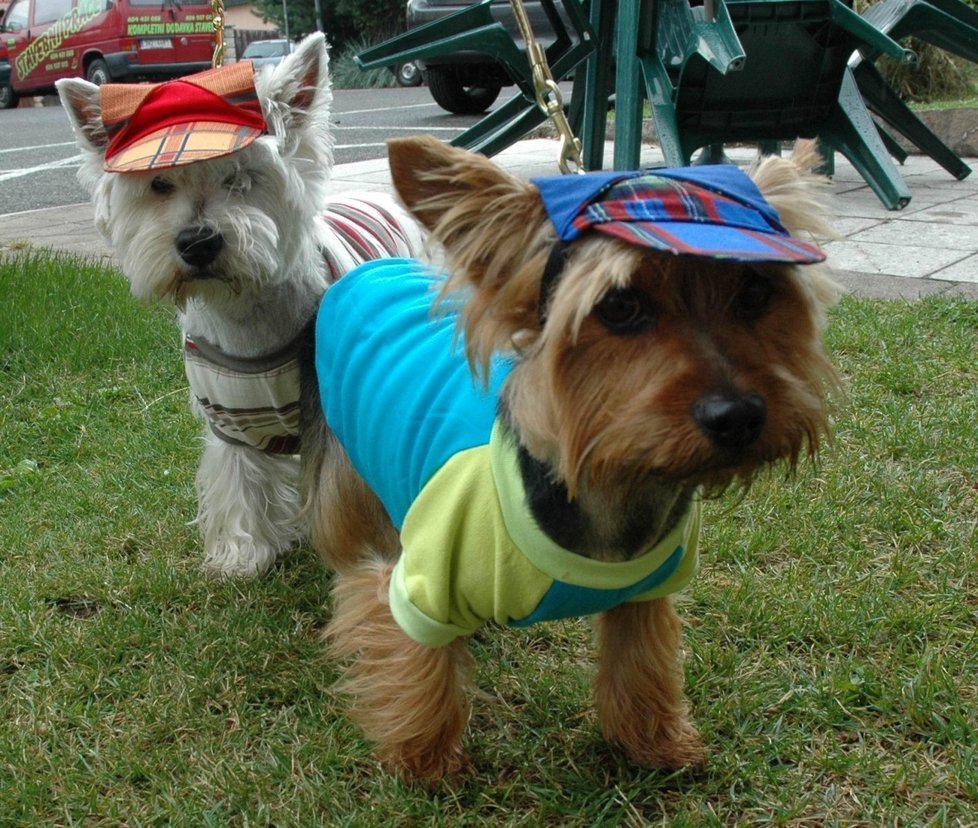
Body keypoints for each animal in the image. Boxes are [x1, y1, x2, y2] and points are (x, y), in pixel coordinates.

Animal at [57, 34, 424, 576]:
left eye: (241, 177)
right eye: (159, 184)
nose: (198, 242)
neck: (247, 317)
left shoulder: (331, 415)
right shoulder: (228, 418)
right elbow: (239, 481)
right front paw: (243, 554)